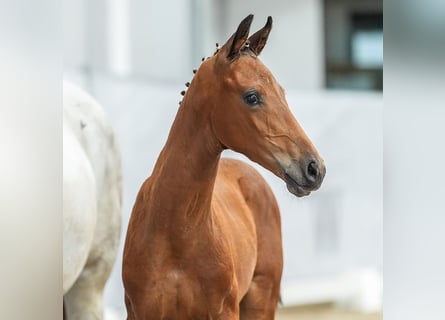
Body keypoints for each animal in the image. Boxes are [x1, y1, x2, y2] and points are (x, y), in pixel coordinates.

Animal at [123, 15, 324, 320]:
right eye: (252, 96)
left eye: (282, 92)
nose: (315, 168)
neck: (174, 232)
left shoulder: (224, 312)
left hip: (261, 301)